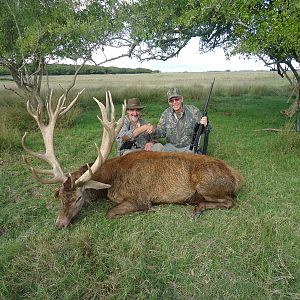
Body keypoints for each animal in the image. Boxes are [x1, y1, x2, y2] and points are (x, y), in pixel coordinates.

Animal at [23, 91, 244, 227]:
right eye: (60, 196)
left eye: (78, 197)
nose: (60, 224)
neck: (110, 182)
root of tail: (237, 177)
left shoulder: (140, 198)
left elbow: (110, 213)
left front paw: (150, 211)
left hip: (206, 184)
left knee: (231, 202)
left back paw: (198, 207)